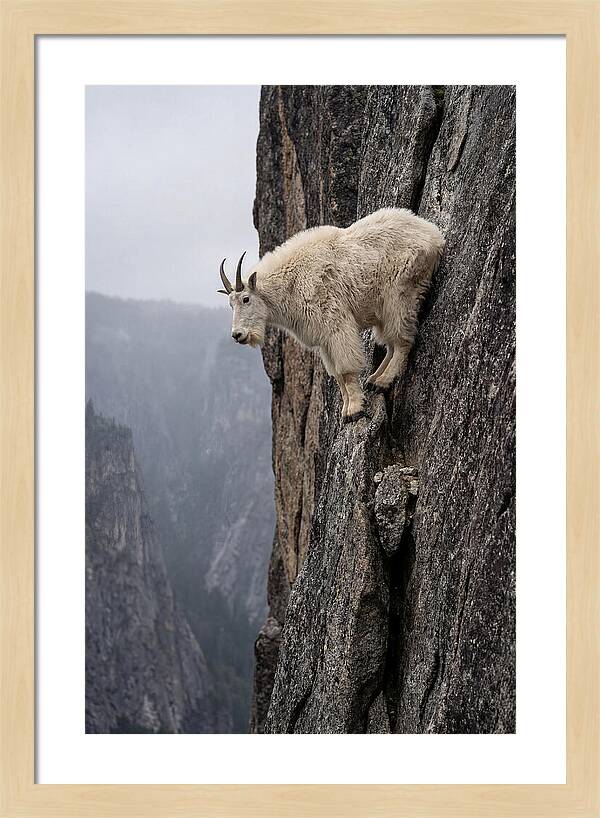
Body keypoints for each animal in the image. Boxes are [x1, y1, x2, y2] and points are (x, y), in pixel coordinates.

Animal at [218, 208, 445, 421]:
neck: (291, 283)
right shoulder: (324, 340)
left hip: (400, 294)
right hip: (382, 309)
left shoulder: (336, 324)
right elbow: (336, 375)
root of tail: (434, 235)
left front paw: (355, 410)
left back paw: (383, 381)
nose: (237, 335)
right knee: (390, 343)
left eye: (246, 299)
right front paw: (345, 410)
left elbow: (345, 370)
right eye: (230, 304)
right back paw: (373, 379)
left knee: (402, 340)